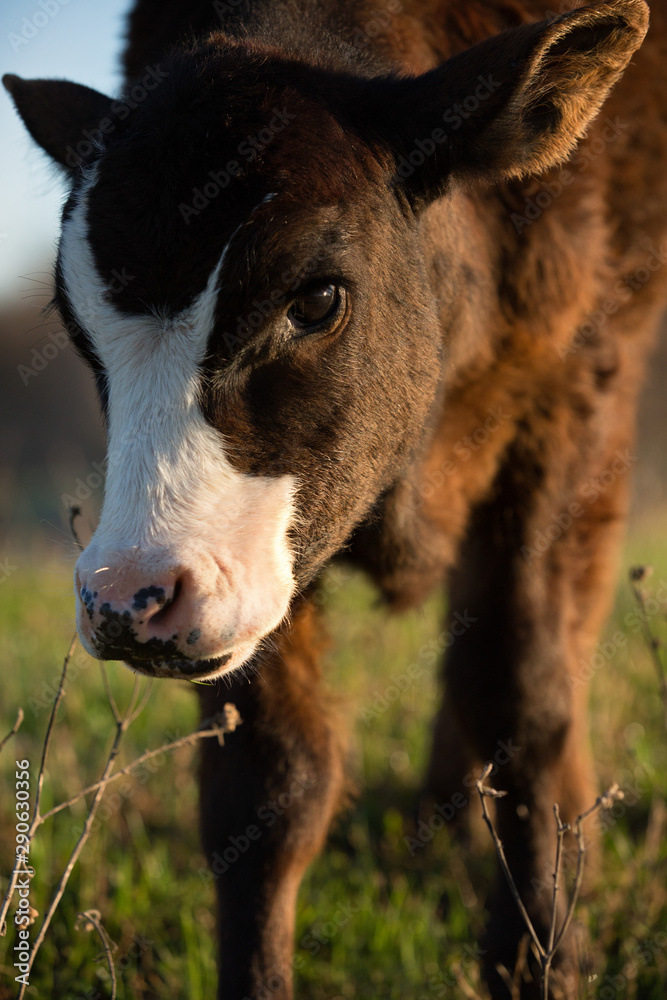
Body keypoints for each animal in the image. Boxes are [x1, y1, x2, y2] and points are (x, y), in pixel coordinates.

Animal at [5, 0, 666, 996]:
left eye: (315, 300)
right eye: (79, 329)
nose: (128, 600)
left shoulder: (572, 396)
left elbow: (525, 697)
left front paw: (539, 962)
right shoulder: (264, 572)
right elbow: (272, 782)